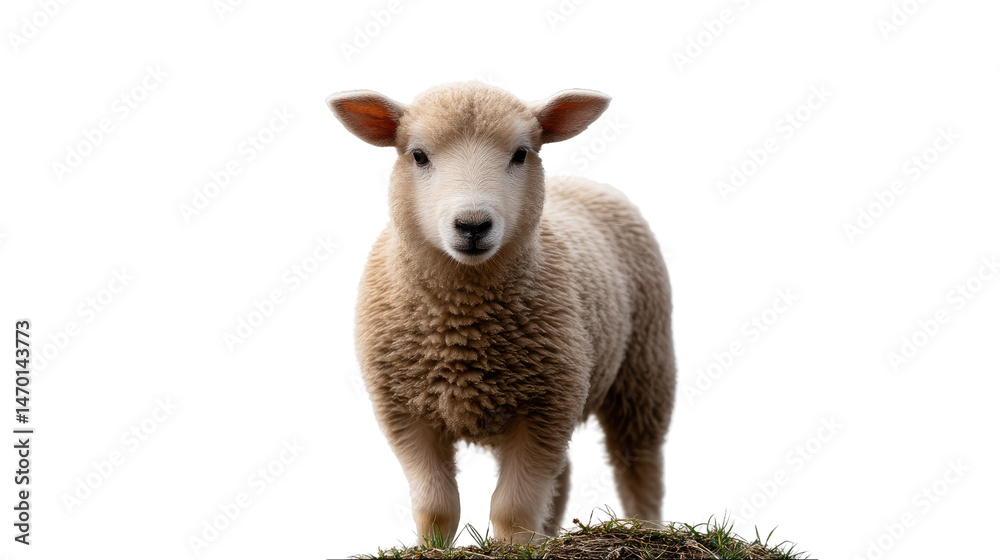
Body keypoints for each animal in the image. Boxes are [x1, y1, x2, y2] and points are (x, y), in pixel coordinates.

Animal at [326, 82, 676, 545]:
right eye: (418, 155)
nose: (473, 225)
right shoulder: (404, 411)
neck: (461, 324)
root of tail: (586, 182)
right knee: (564, 475)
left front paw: (516, 547)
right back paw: (551, 537)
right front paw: (434, 548)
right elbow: (435, 507)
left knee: (638, 461)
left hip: (644, 367)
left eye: (521, 153)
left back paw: (648, 530)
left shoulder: (547, 405)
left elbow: (513, 509)